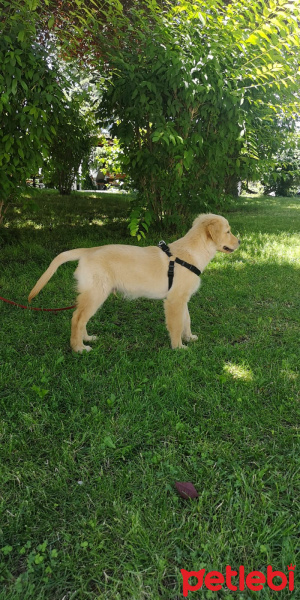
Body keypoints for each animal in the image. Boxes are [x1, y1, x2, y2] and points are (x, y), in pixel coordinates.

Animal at [28, 213, 239, 352]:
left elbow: (186, 320)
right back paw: (79, 347)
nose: (240, 242)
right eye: (228, 231)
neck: (191, 252)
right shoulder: (174, 301)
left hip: (93, 294)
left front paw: (189, 338)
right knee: (77, 319)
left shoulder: (182, 298)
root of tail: (88, 250)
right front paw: (178, 347)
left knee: (81, 318)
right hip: (96, 293)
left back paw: (87, 338)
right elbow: (176, 324)